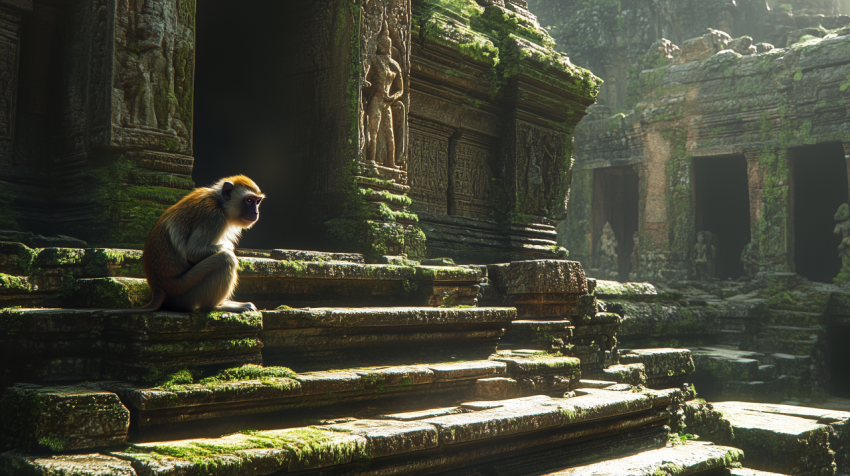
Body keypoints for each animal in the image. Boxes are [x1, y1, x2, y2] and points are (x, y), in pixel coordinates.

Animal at [126, 175, 262, 312]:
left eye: (257, 201)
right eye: (249, 200)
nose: (256, 212)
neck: (220, 203)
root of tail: (158, 289)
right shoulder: (214, 217)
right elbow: (192, 252)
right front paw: (228, 246)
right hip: (184, 290)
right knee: (226, 258)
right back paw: (215, 306)